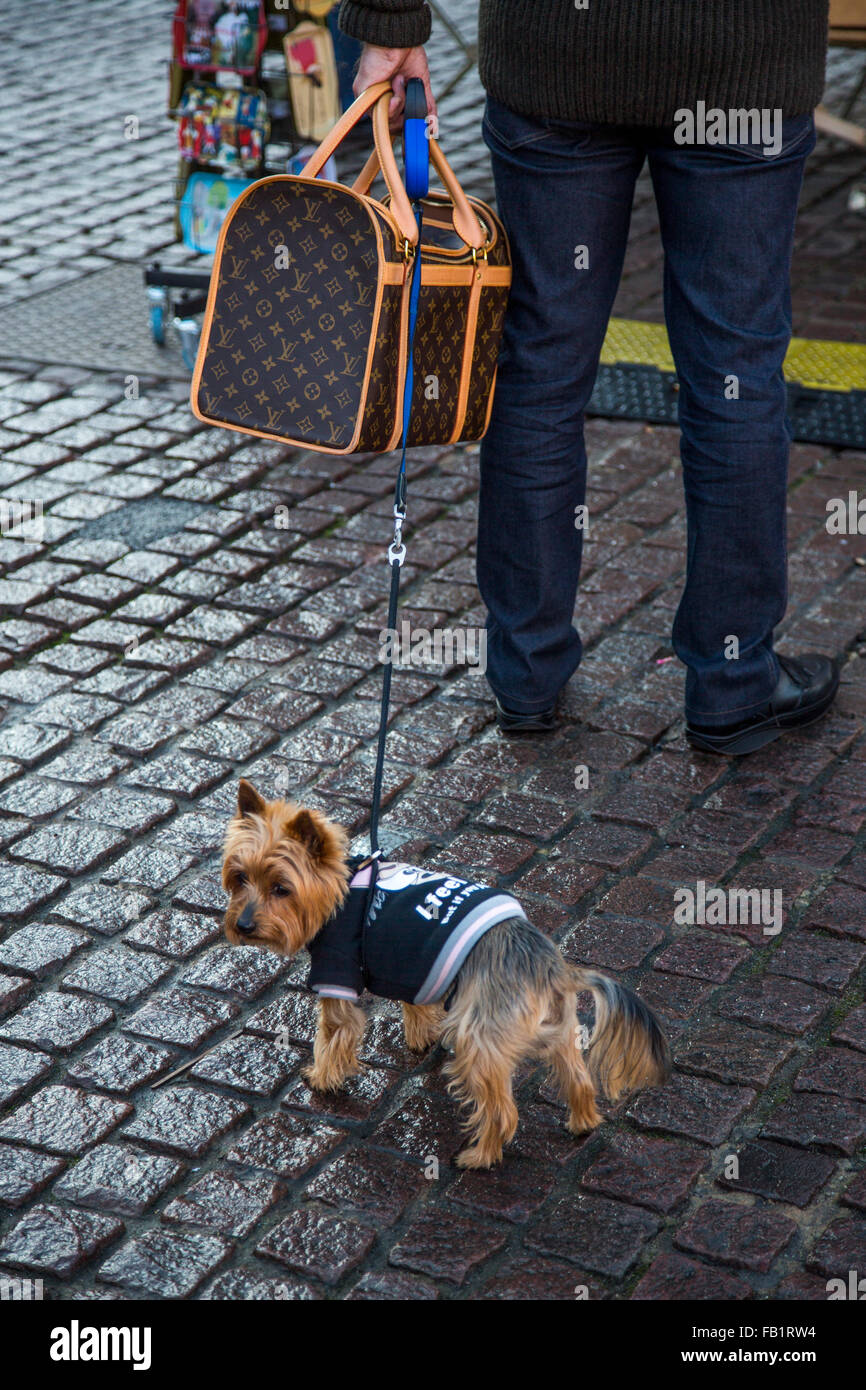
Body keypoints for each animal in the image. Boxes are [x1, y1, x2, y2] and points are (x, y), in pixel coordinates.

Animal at [222, 778, 670, 1167]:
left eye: (282, 888)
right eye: (239, 877)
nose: (242, 925)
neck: (341, 888)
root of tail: (550, 965)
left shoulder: (338, 969)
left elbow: (333, 1032)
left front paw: (322, 1077)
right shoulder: (413, 967)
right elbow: (416, 1004)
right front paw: (421, 1037)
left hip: (481, 1038)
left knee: (501, 1109)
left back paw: (481, 1156)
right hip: (557, 1028)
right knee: (577, 1076)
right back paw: (582, 1122)